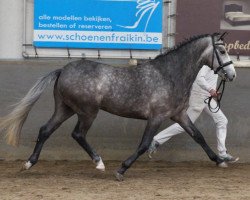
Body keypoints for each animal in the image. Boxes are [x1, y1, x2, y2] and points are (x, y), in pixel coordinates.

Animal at [0, 32, 235, 180]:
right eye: (222, 51)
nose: (232, 74)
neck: (169, 74)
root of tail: (63, 70)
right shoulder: (156, 117)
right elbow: (143, 145)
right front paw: (121, 170)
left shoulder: (179, 115)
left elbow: (198, 136)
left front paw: (219, 160)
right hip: (87, 112)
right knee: (78, 134)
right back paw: (99, 163)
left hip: (65, 109)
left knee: (45, 130)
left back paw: (29, 163)